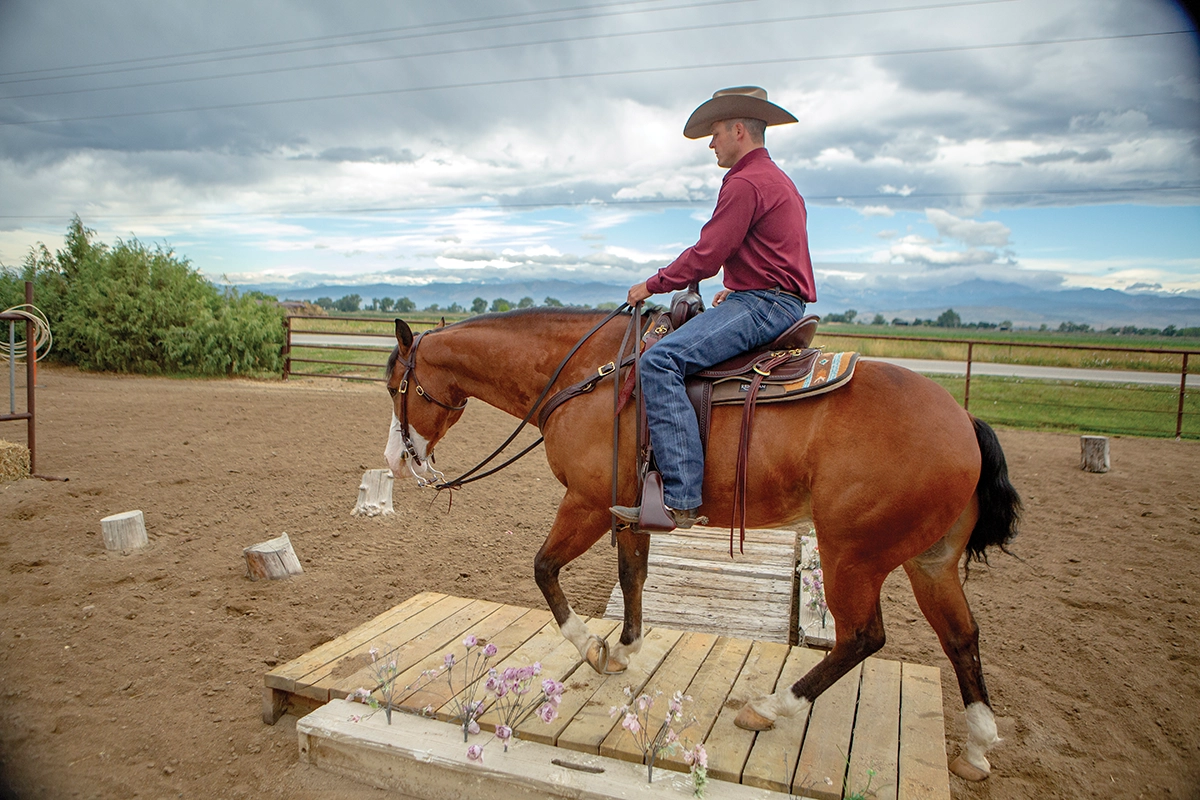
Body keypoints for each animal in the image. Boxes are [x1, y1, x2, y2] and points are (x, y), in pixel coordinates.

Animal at [383, 307, 1020, 782]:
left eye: (395, 386)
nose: (397, 459)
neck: (586, 375)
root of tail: (963, 421)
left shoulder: (585, 503)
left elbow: (544, 568)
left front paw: (592, 647)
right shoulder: (627, 513)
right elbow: (631, 577)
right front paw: (623, 649)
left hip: (851, 555)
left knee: (863, 637)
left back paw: (769, 706)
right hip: (930, 559)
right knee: (961, 636)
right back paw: (978, 747)